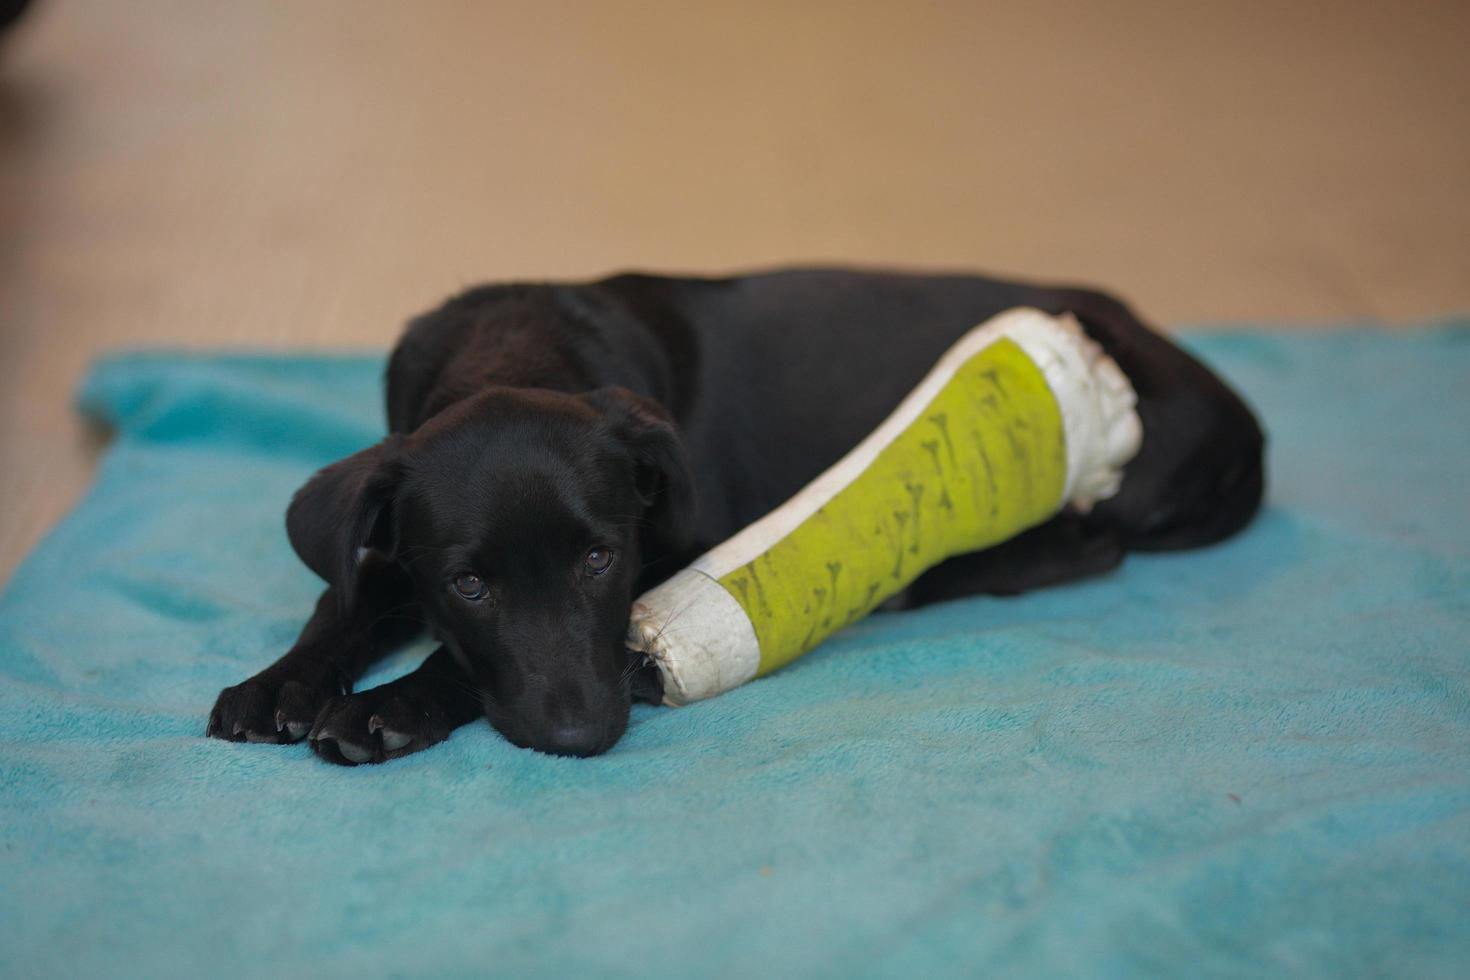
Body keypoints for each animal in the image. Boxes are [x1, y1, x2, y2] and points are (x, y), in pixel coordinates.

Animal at [204, 270, 1264, 764]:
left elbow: (460, 660)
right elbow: (346, 597)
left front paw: (384, 709)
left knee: (1085, 543)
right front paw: (280, 686)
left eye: (602, 561)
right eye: (468, 583)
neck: (517, 349)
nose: (583, 735)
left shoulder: (684, 548)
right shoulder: (391, 529)